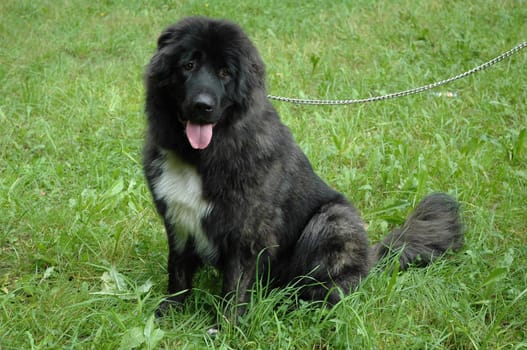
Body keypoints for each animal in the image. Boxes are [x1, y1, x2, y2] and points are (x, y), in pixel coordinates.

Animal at [142, 17, 464, 318]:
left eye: (225, 73)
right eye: (189, 65)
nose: (202, 106)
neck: (200, 157)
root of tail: (372, 258)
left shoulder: (247, 233)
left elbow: (234, 287)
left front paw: (226, 326)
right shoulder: (178, 220)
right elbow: (178, 273)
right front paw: (169, 312)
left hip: (333, 220)